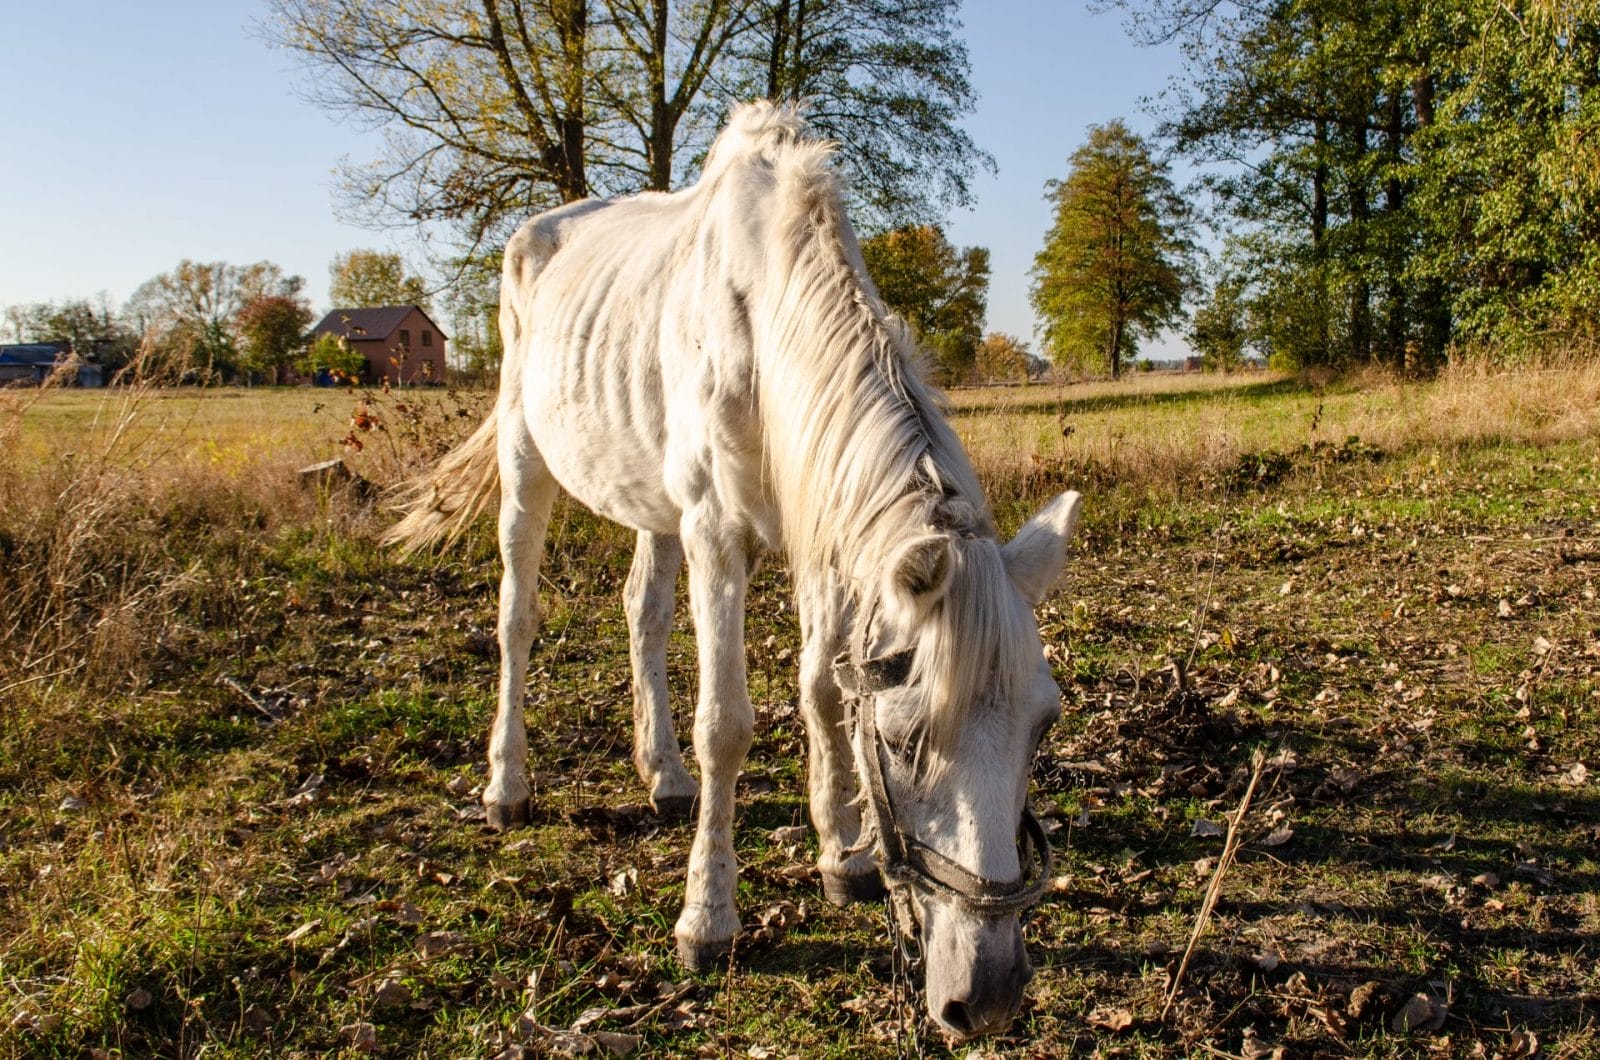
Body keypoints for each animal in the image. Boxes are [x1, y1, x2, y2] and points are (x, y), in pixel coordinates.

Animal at [386, 102, 1083, 1041]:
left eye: (1043, 725)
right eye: (904, 738)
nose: (994, 993)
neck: (767, 315)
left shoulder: (822, 533)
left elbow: (822, 689)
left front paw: (841, 856)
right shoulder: (717, 533)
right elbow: (727, 723)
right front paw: (706, 920)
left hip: (651, 500)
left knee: (641, 612)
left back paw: (665, 778)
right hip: (527, 460)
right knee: (516, 620)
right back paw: (508, 787)